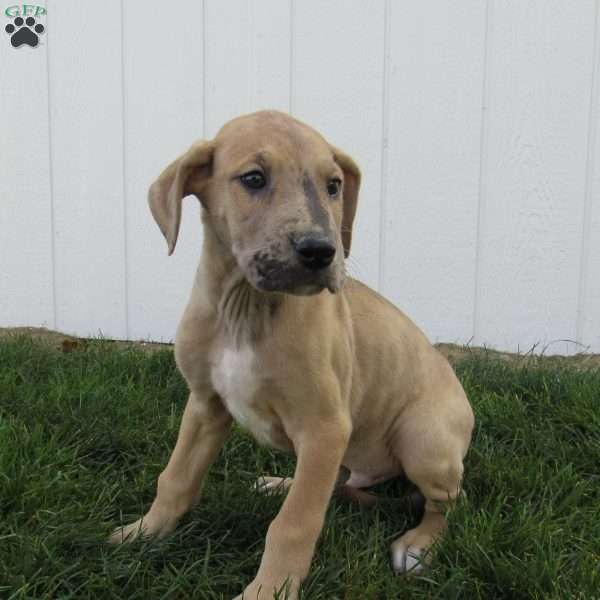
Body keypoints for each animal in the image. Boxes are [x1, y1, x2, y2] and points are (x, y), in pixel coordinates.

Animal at [108, 110, 474, 596]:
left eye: (334, 186)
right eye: (254, 178)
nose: (321, 251)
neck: (245, 308)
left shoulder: (325, 426)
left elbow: (294, 524)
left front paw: (268, 590)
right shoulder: (205, 404)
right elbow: (175, 477)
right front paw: (145, 532)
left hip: (422, 438)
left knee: (448, 501)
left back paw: (418, 544)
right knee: (335, 480)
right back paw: (278, 483)